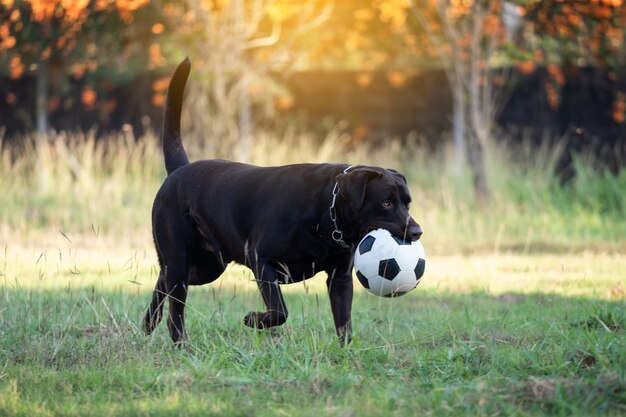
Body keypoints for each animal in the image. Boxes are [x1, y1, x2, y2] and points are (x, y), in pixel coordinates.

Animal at [144, 58, 422, 344]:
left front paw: (347, 351)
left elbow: (344, 321)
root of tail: (179, 170)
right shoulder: (262, 260)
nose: (416, 231)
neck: (326, 211)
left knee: (163, 281)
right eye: (386, 203)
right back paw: (181, 343)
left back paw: (149, 323)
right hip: (182, 258)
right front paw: (253, 320)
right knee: (175, 304)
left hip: (208, 265)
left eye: (407, 203)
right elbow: (280, 311)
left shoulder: (340, 278)